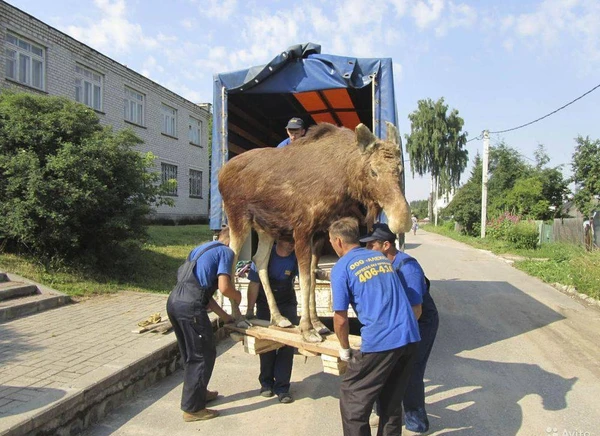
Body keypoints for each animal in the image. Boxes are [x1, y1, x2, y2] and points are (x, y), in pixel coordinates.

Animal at [219, 121, 412, 342]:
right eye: (373, 171)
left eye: (400, 170)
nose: (402, 219)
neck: (344, 178)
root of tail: (220, 174)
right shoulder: (302, 229)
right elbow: (304, 279)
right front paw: (307, 329)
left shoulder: (320, 233)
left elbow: (311, 277)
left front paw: (318, 323)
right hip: (237, 217)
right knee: (231, 260)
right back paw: (238, 317)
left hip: (265, 228)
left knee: (259, 260)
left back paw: (278, 317)